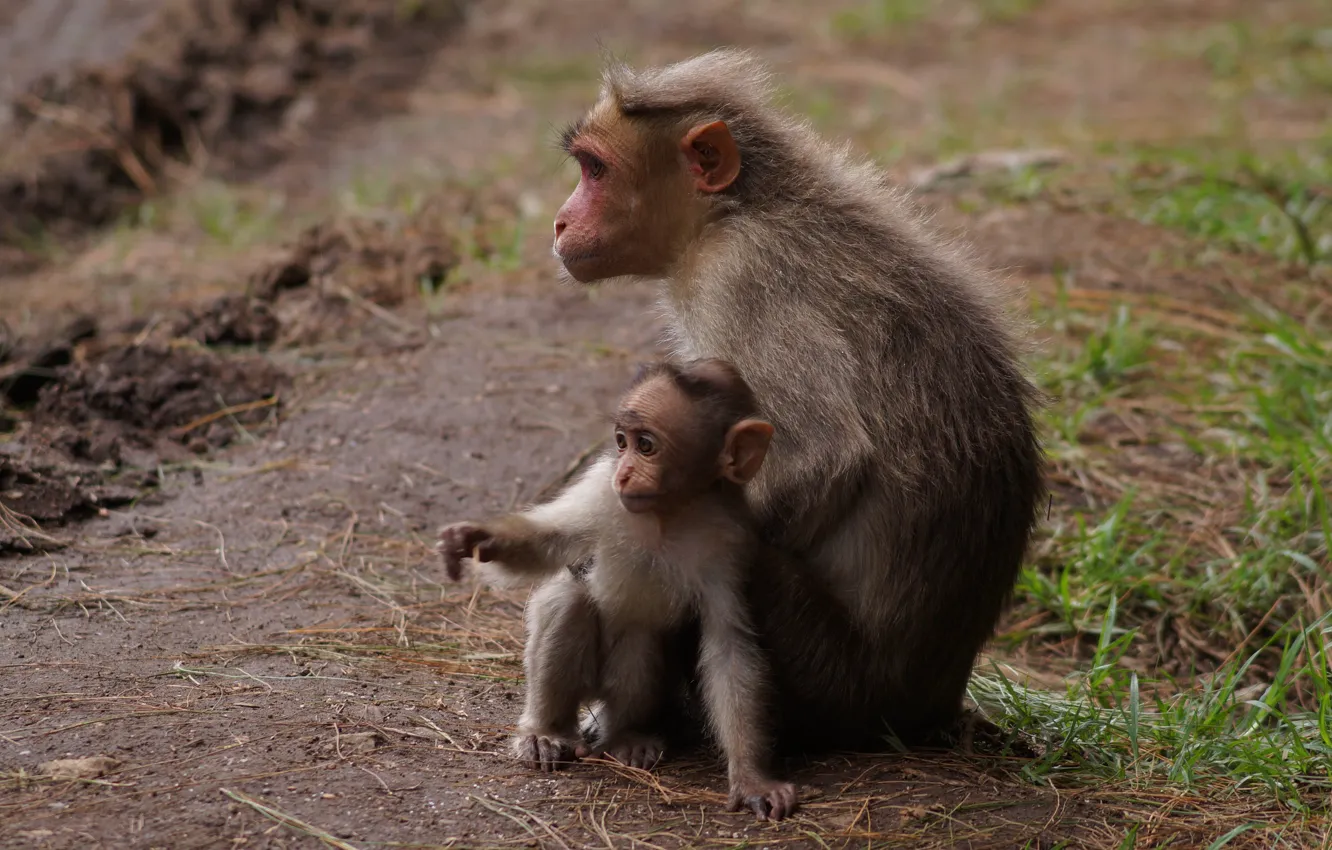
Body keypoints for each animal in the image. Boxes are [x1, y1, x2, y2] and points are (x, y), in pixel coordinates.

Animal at [439, 358, 799, 822]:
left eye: (646, 445)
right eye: (620, 442)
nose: (625, 472)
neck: (667, 515)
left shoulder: (731, 543)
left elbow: (728, 645)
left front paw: (753, 778)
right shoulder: (601, 490)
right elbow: (546, 542)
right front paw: (474, 539)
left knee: (641, 634)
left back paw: (626, 736)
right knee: (571, 602)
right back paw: (546, 732)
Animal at [548, 49, 1047, 752]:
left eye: (596, 170)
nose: (560, 221)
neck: (733, 212)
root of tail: (930, 704)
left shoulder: (737, 275)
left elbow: (823, 455)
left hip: (829, 678)